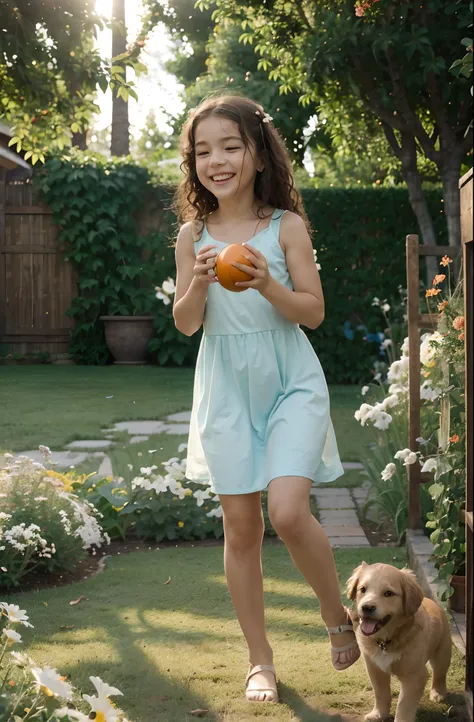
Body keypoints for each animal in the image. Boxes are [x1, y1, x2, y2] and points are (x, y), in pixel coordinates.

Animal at [348, 564, 452, 720]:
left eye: (388, 593)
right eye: (362, 589)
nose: (366, 607)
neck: (386, 640)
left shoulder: (414, 676)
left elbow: (404, 705)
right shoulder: (374, 668)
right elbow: (381, 693)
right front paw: (378, 714)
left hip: (442, 653)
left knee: (440, 674)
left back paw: (437, 693)